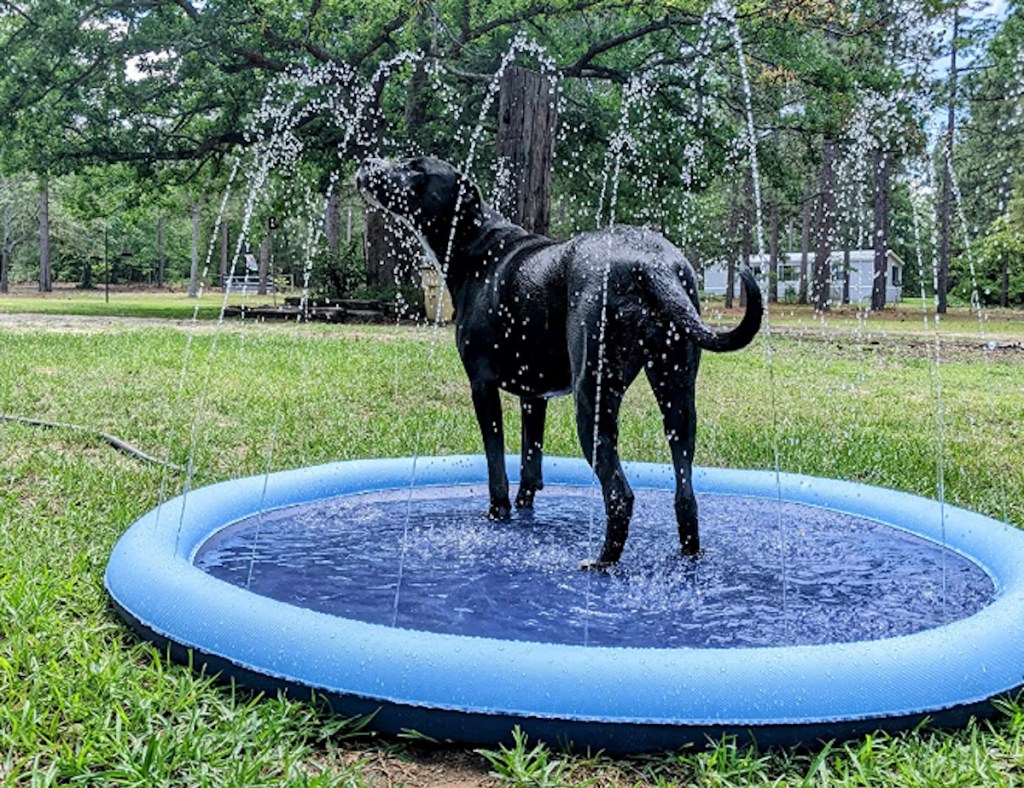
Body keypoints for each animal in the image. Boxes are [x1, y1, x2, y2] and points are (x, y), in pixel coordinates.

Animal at [356, 157, 765, 564]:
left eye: (416, 169)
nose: (367, 163)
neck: (476, 244)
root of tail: (650, 264)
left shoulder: (482, 385)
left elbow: (496, 465)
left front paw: (498, 515)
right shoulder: (534, 397)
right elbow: (530, 464)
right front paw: (525, 512)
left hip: (593, 397)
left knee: (620, 495)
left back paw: (601, 563)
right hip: (677, 395)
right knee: (685, 495)